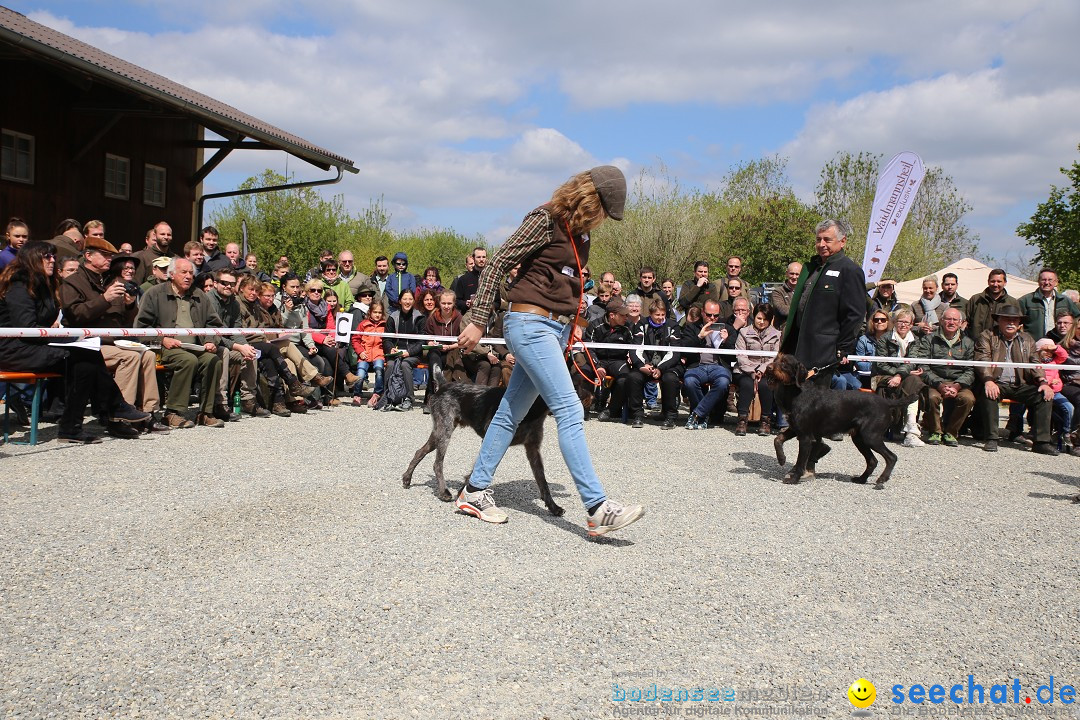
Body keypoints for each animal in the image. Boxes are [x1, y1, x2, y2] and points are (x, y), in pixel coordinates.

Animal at [399, 375, 565, 515]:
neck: (533, 408)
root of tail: (444, 384)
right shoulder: (493, 438)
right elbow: (479, 467)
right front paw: (466, 493)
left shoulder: (533, 449)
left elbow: (542, 481)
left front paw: (553, 507)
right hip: (444, 431)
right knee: (437, 463)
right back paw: (443, 492)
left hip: (438, 433)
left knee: (420, 451)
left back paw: (407, 479)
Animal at [760, 354, 920, 487]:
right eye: (776, 359)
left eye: (785, 363)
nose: (768, 368)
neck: (796, 393)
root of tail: (886, 402)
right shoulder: (795, 428)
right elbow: (777, 439)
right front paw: (781, 459)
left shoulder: (805, 436)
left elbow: (800, 462)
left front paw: (793, 479)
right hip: (859, 438)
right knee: (872, 461)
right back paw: (861, 479)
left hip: (871, 436)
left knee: (892, 457)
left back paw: (881, 480)